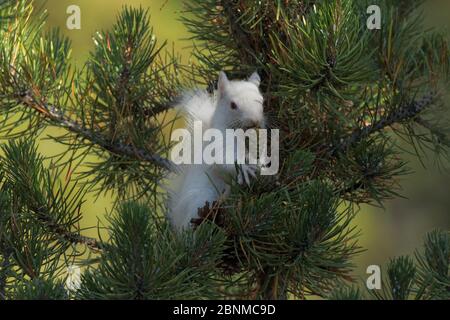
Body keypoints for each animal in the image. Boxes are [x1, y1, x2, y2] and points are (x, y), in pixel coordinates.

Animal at [167, 70, 266, 230]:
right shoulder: (218, 143)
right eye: (233, 105)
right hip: (201, 200)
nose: (254, 121)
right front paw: (245, 168)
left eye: (261, 101)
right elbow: (224, 159)